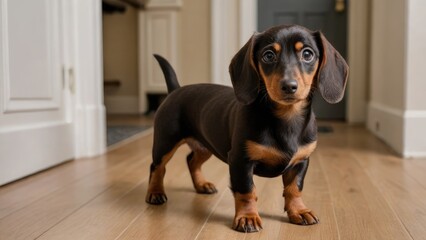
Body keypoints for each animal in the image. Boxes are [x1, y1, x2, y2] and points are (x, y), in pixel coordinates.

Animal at [145, 24, 348, 232]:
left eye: (308, 54)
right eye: (268, 55)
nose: (289, 86)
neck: (287, 119)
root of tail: (175, 90)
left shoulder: (301, 161)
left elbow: (294, 189)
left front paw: (299, 211)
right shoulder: (240, 160)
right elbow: (247, 191)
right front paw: (248, 217)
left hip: (205, 146)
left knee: (191, 160)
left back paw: (202, 185)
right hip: (166, 141)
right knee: (157, 166)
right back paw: (155, 193)